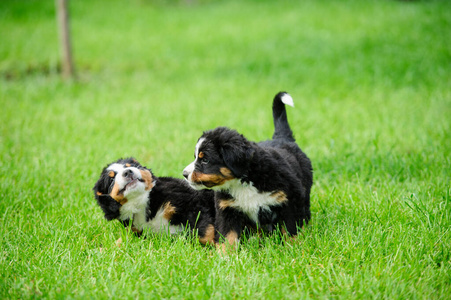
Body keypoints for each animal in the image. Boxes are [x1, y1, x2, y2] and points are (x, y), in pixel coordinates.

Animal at [182, 92, 312, 247]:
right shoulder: (227, 209)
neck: (242, 182)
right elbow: (228, 236)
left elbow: (291, 229)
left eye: (205, 159)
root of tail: (283, 138)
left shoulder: (291, 199)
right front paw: (224, 253)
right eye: (196, 156)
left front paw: (293, 247)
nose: (184, 174)